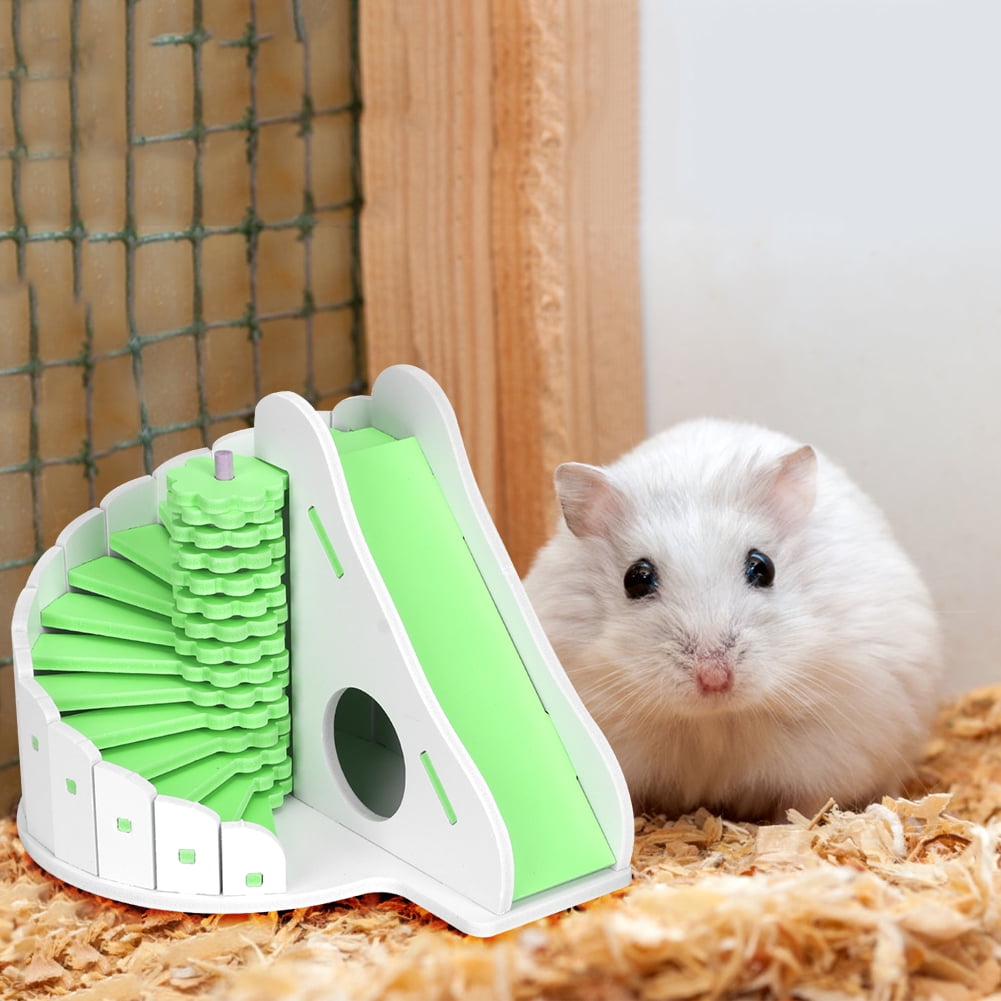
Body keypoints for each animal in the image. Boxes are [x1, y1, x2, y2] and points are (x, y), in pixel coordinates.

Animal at [523, 419, 944, 821]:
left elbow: (805, 809)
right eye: (636, 578)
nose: (714, 678)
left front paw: (789, 829)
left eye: (763, 567)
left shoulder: (832, 750)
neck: (715, 720)